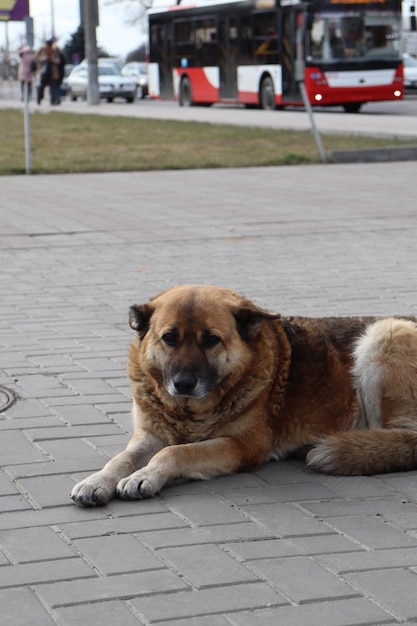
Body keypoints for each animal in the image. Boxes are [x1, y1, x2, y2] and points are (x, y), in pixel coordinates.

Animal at [70, 284, 416, 508]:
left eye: (211, 340)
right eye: (169, 338)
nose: (182, 384)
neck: (188, 413)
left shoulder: (240, 447)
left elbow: (175, 453)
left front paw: (146, 475)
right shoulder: (148, 437)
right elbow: (122, 458)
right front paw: (98, 480)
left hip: (385, 335)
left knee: (403, 440)